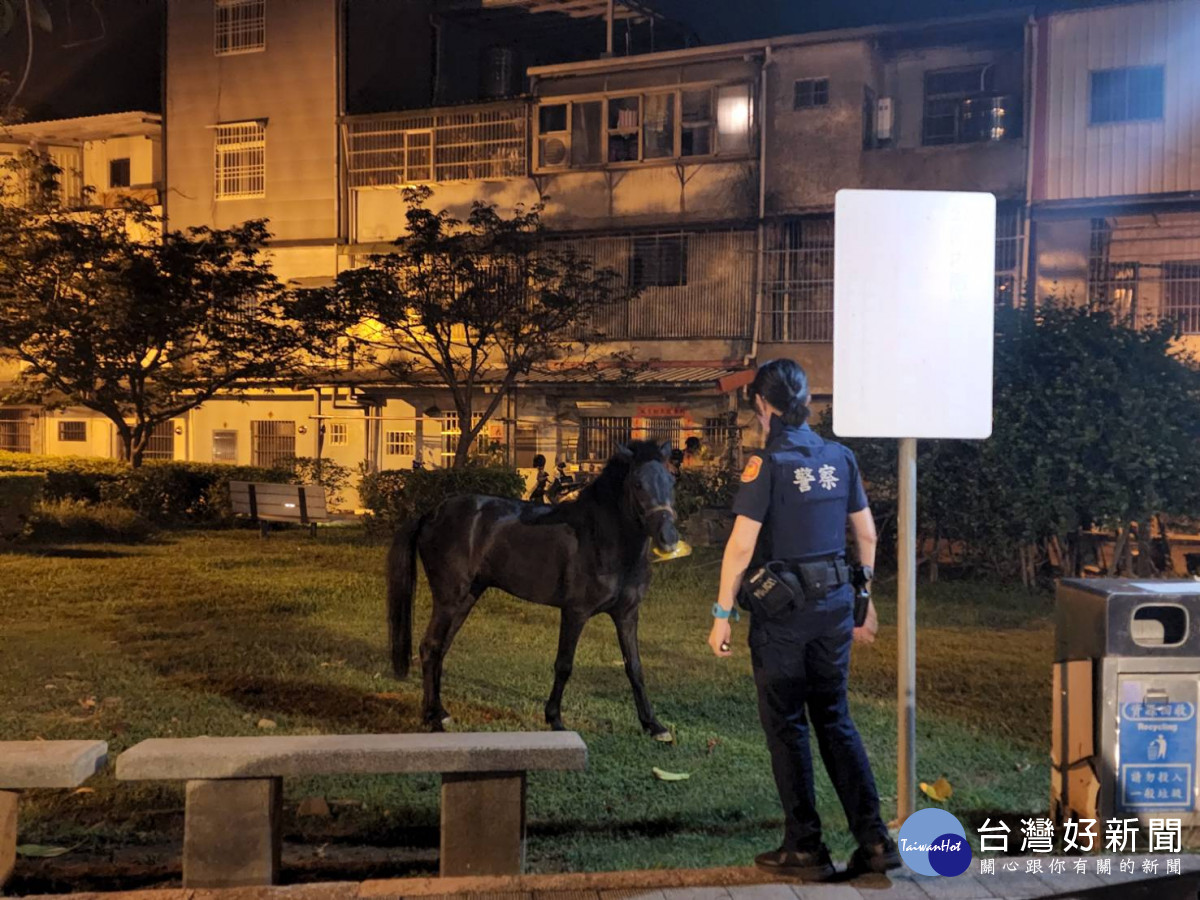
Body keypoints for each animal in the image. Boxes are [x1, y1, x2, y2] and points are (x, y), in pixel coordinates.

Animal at [386, 441, 681, 739]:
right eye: (637, 483)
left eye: (671, 480)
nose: (668, 537)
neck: (602, 539)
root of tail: (431, 513)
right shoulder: (575, 612)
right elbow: (564, 665)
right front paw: (555, 720)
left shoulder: (627, 614)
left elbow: (634, 667)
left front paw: (654, 725)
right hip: (448, 599)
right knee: (430, 647)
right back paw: (432, 719)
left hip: (467, 598)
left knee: (440, 649)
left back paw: (440, 713)